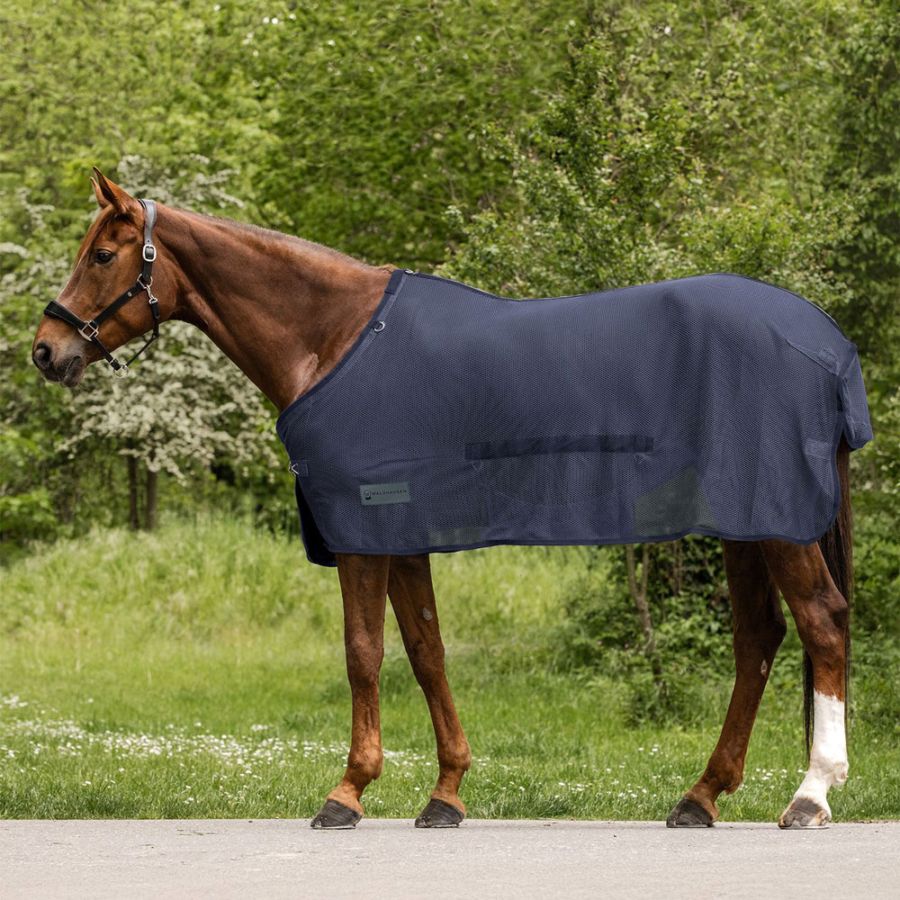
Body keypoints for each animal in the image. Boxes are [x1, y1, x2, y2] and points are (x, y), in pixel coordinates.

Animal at [32, 169, 861, 830]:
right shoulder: (402, 534)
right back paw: (701, 796)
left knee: (820, 623)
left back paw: (811, 795)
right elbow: (427, 652)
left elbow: (363, 653)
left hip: (778, 524)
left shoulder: (363, 528)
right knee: (758, 640)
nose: (46, 349)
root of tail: (825, 342)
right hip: (746, 522)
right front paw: (447, 793)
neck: (333, 337)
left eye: (101, 255)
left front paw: (348, 791)